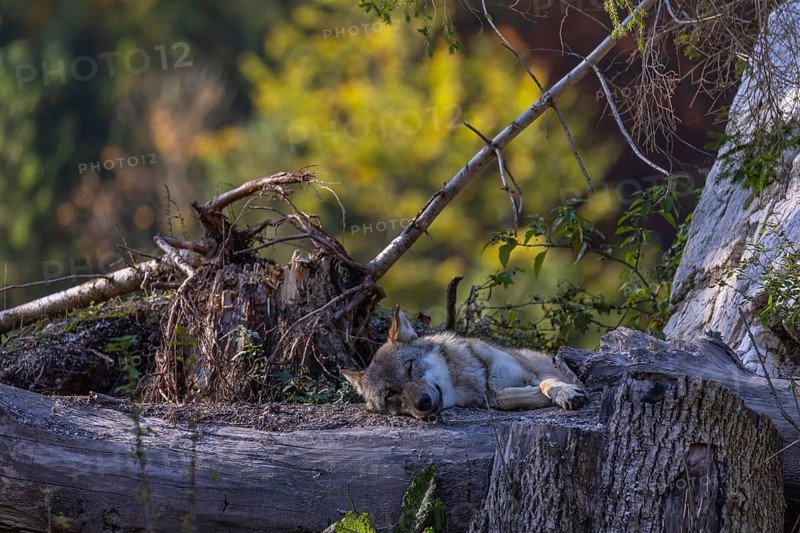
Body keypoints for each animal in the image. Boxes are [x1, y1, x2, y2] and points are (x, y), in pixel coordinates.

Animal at [341, 307, 587, 419]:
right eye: (390, 394)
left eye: (410, 368)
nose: (423, 403)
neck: (479, 379)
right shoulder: (491, 398)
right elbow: (503, 398)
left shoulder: (536, 371)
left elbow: (548, 384)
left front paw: (565, 393)